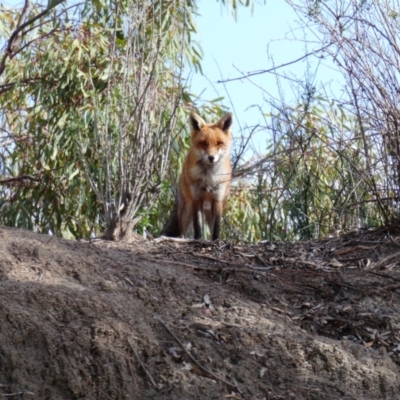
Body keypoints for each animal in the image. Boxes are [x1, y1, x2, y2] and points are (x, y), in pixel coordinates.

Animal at [161, 111, 233, 239]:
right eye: (203, 143)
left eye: (219, 143)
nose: (211, 157)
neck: (209, 178)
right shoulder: (196, 198)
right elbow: (198, 226)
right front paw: (198, 239)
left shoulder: (217, 198)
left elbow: (216, 228)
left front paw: (216, 241)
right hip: (186, 212)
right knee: (183, 232)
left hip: (209, 211)